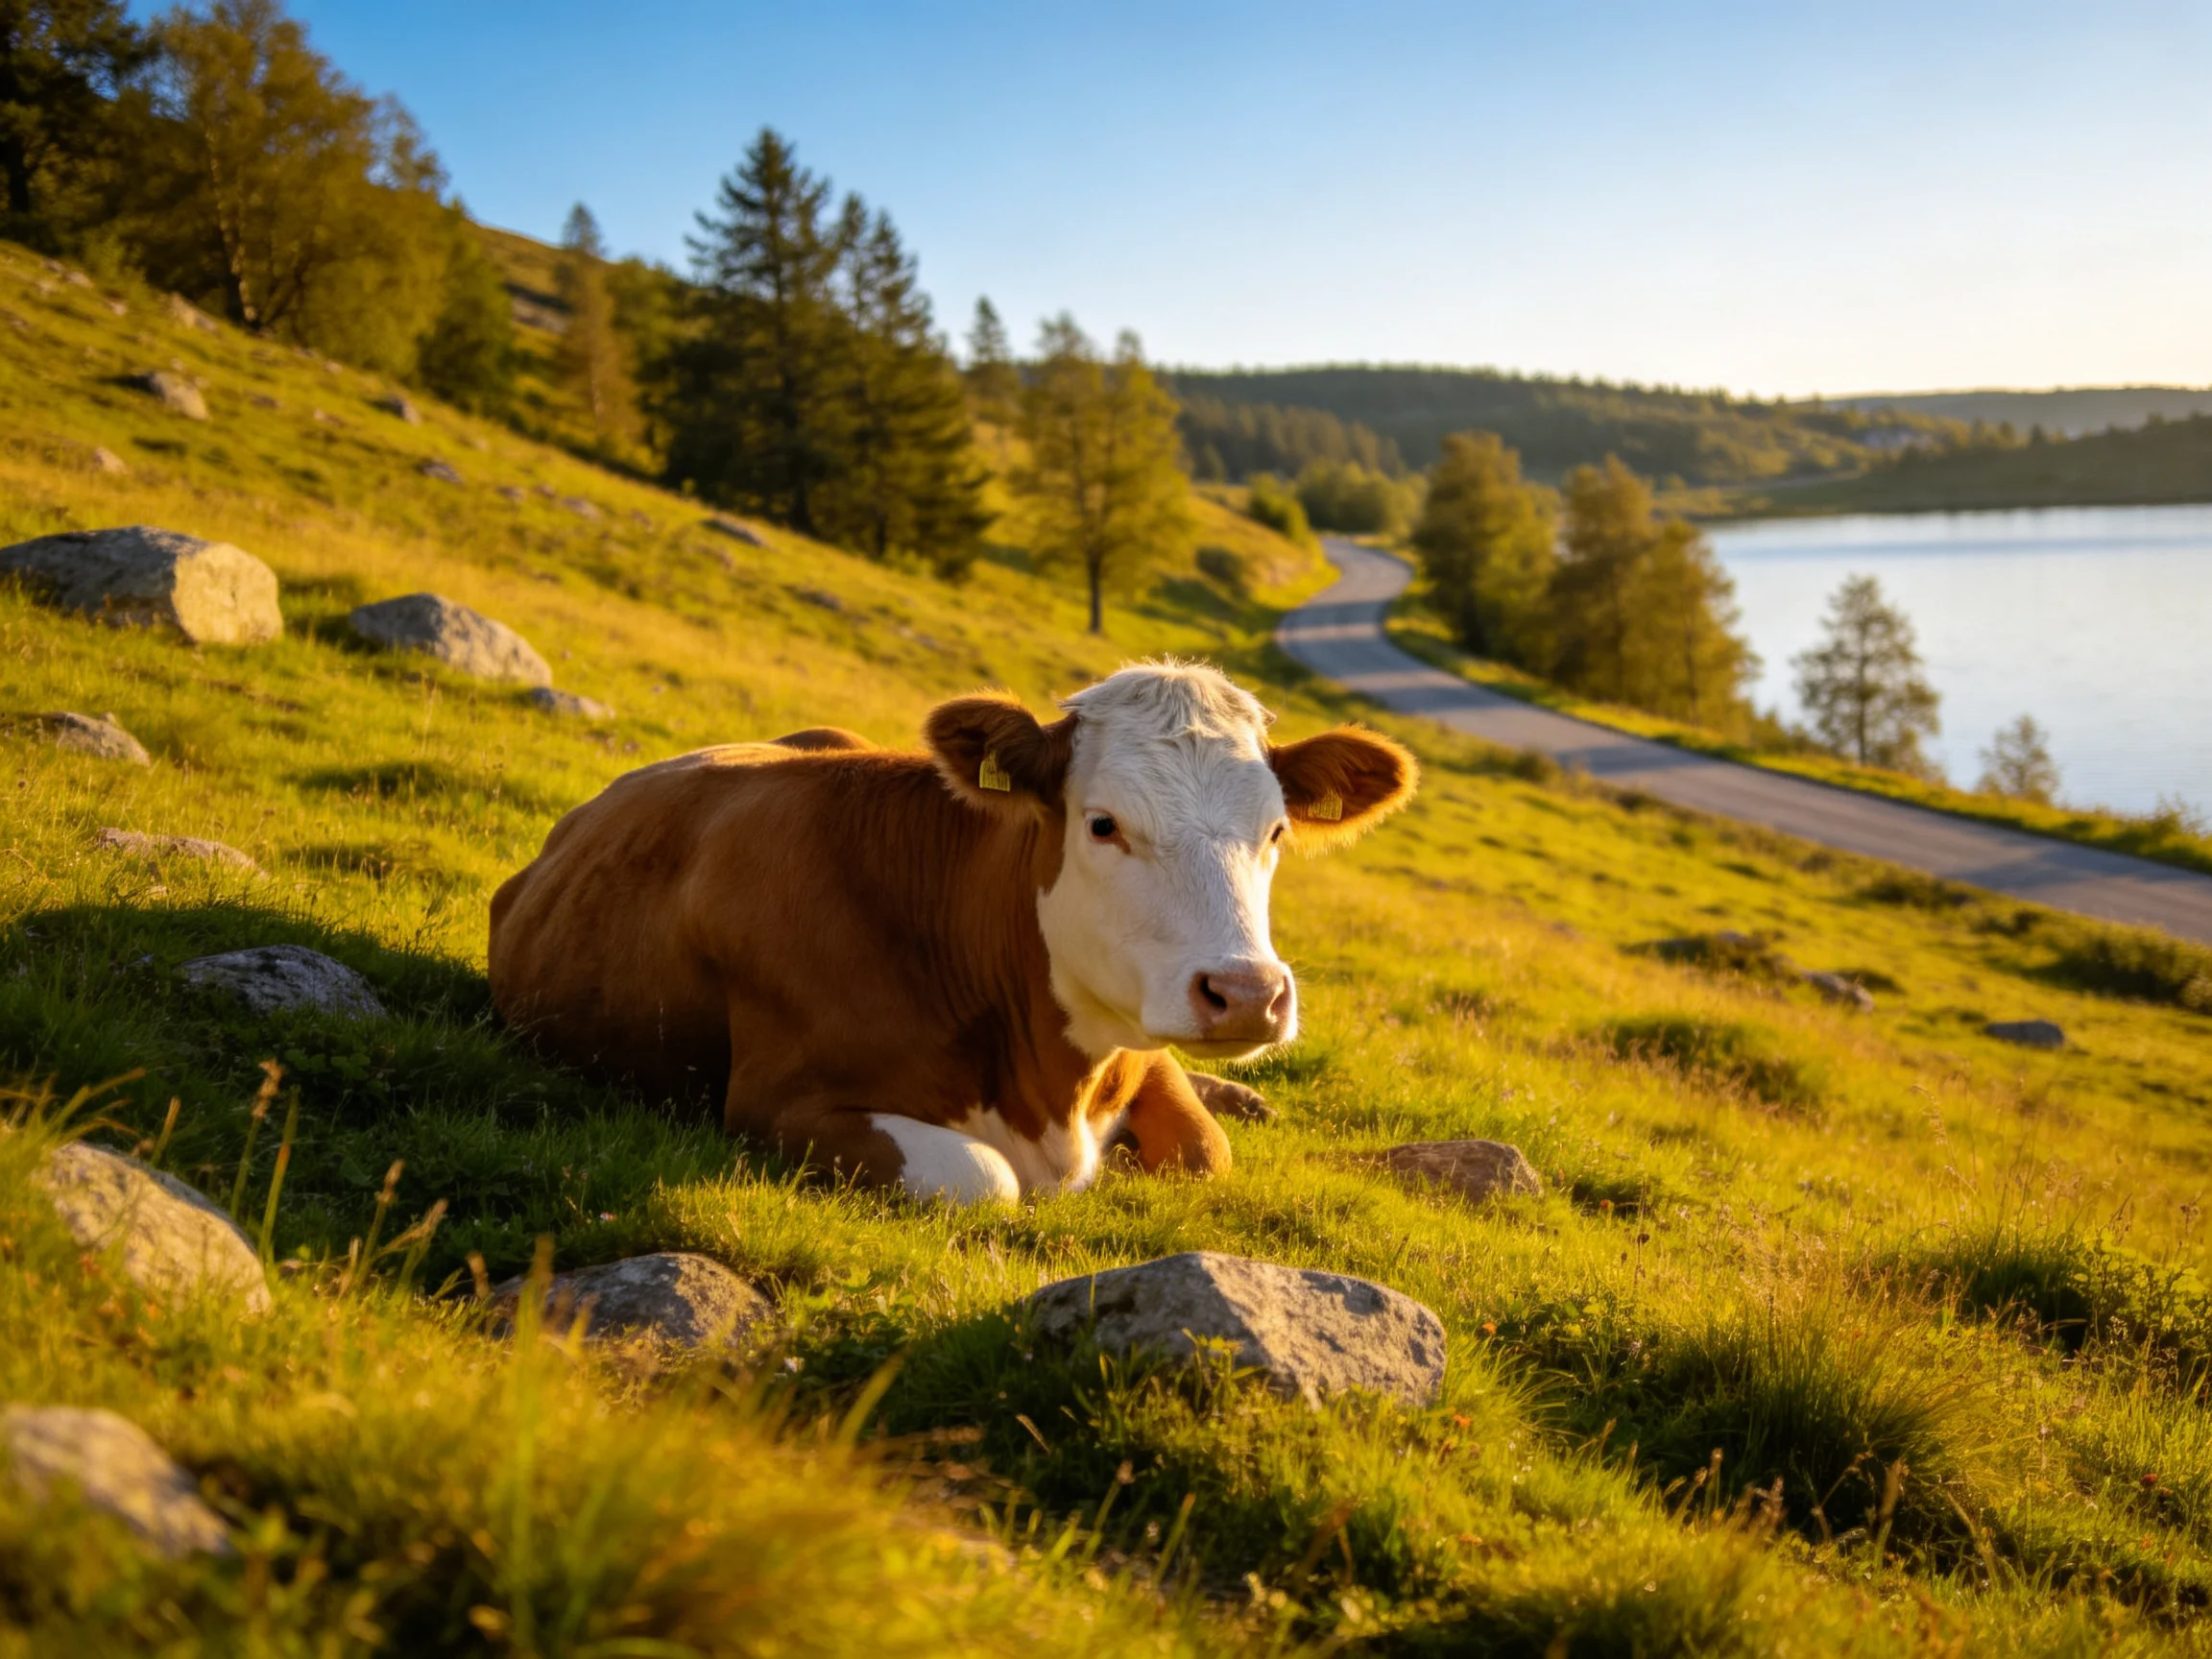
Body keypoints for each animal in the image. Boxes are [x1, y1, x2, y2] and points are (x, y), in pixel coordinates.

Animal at [488, 660, 1416, 1205]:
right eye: (1103, 824)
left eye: (1276, 832)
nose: (1247, 995)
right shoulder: (774, 1101)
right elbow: (984, 1176)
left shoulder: (1140, 1044)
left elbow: (1202, 1150)